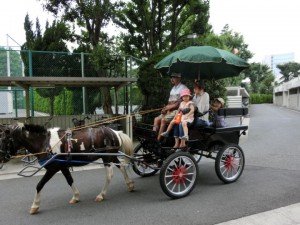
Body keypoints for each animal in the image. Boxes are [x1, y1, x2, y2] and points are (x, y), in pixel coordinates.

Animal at [0, 123, 134, 214]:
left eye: (4, 139)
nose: (1, 157)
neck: (45, 142)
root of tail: (115, 132)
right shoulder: (63, 166)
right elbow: (69, 180)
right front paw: (76, 197)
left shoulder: (53, 168)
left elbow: (39, 185)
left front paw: (35, 205)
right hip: (112, 156)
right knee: (122, 168)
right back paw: (130, 185)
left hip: (107, 158)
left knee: (109, 175)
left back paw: (101, 195)